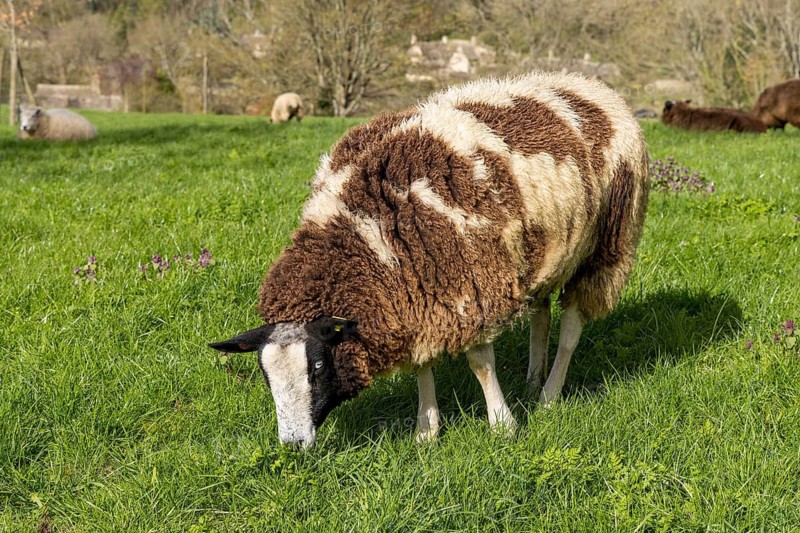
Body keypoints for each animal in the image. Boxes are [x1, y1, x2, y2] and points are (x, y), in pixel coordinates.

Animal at [210, 71, 649, 448]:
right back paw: (532, 377)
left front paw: (502, 425)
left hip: (607, 245)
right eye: (264, 374)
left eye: (317, 366)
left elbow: (480, 362)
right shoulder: (416, 295)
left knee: (572, 328)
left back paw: (549, 395)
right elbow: (422, 363)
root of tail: (588, 84)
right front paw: (426, 430)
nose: (295, 444)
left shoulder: (471, 283)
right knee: (541, 314)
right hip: (543, 251)